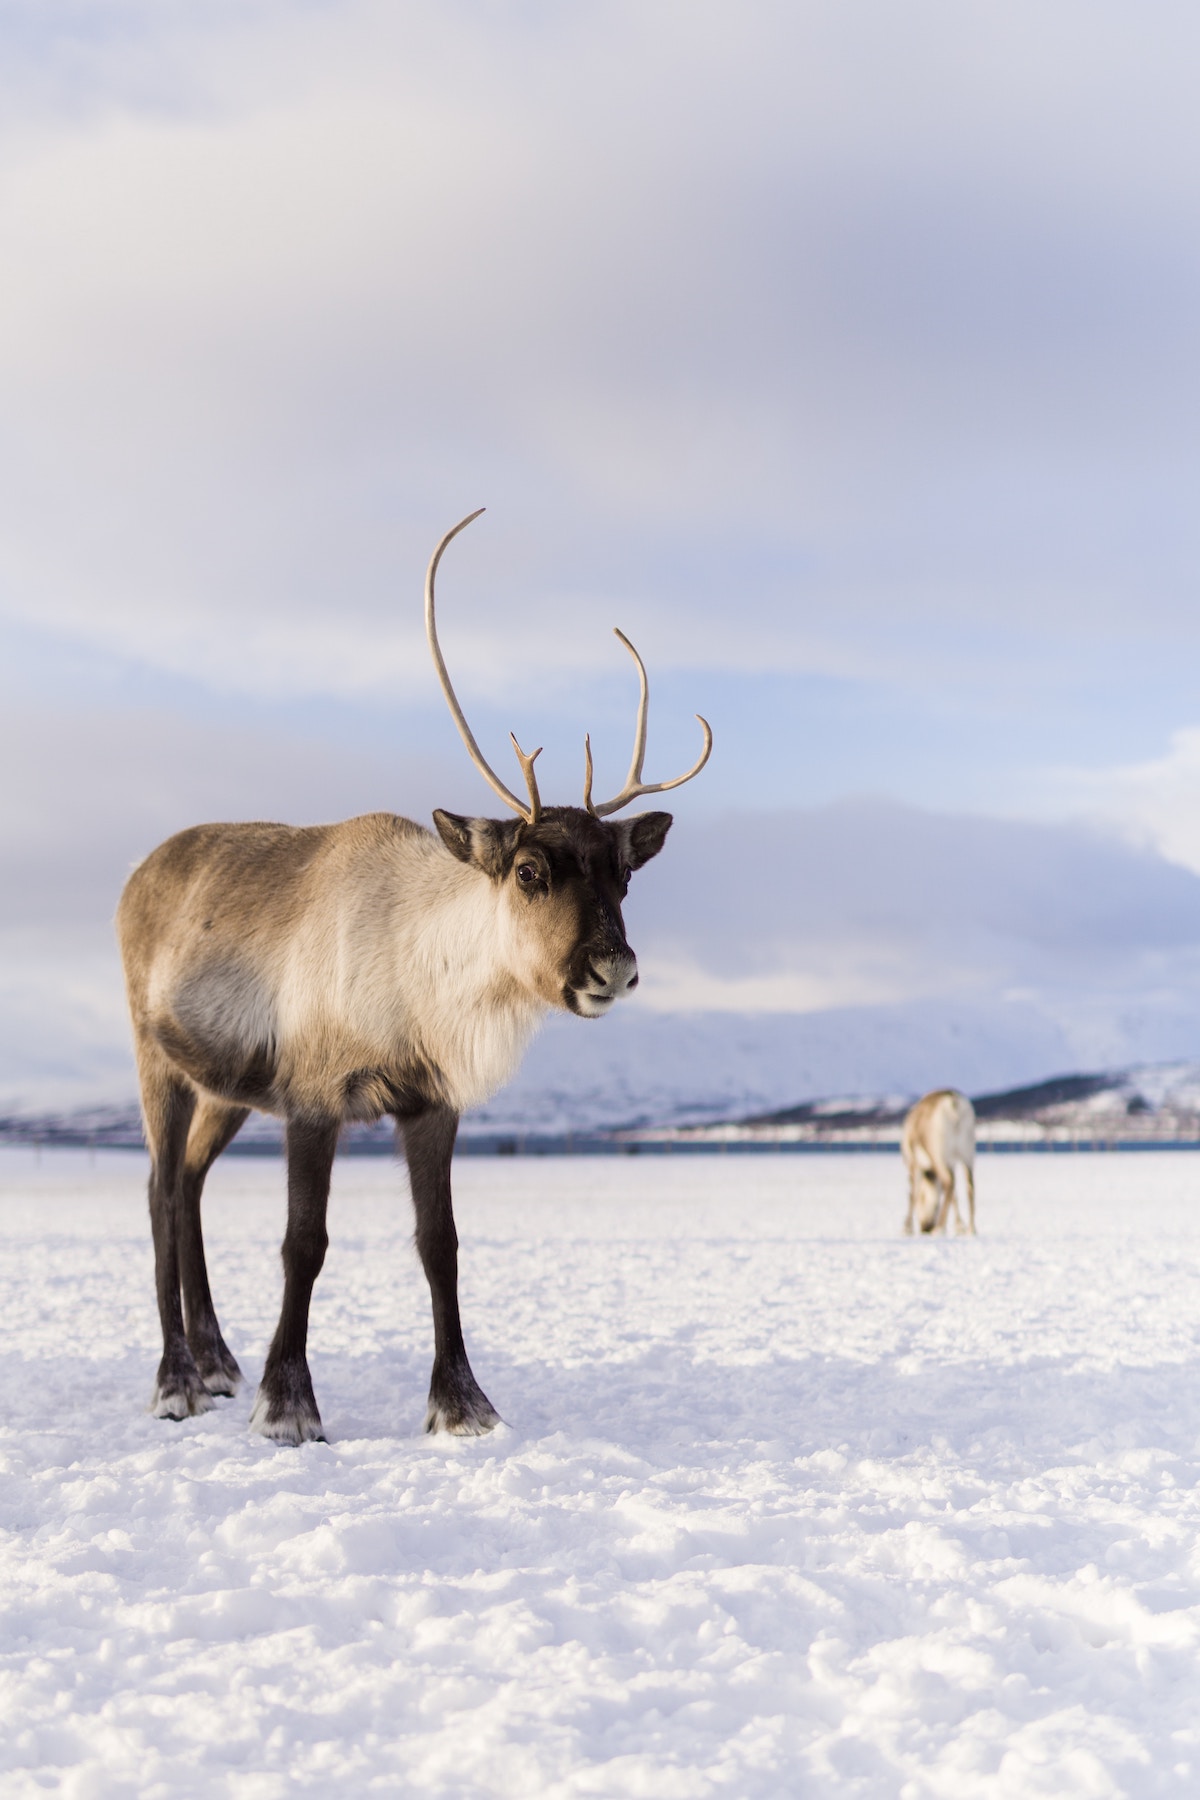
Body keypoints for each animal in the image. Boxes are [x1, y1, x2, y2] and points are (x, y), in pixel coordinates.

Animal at [116, 510, 712, 1445]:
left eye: (622, 873)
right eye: (530, 870)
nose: (612, 967)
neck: (421, 981)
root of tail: (136, 875)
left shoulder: (432, 1104)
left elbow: (443, 1244)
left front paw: (463, 1404)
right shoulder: (316, 1095)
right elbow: (304, 1242)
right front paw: (288, 1406)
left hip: (225, 1090)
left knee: (188, 1182)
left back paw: (215, 1362)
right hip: (156, 1059)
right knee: (158, 1192)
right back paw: (176, 1378)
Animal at [901, 1089, 977, 1235]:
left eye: (936, 1206)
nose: (926, 1228)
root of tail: (954, 1103)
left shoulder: (913, 1163)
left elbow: (912, 1194)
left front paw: (907, 1228)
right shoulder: (952, 1163)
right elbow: (954, 1196)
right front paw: (959, 1226)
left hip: (938, 1154)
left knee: (949, 1182)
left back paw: (940, 1228)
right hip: (967, 1153)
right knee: (969, 1186)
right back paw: (971, 1229)